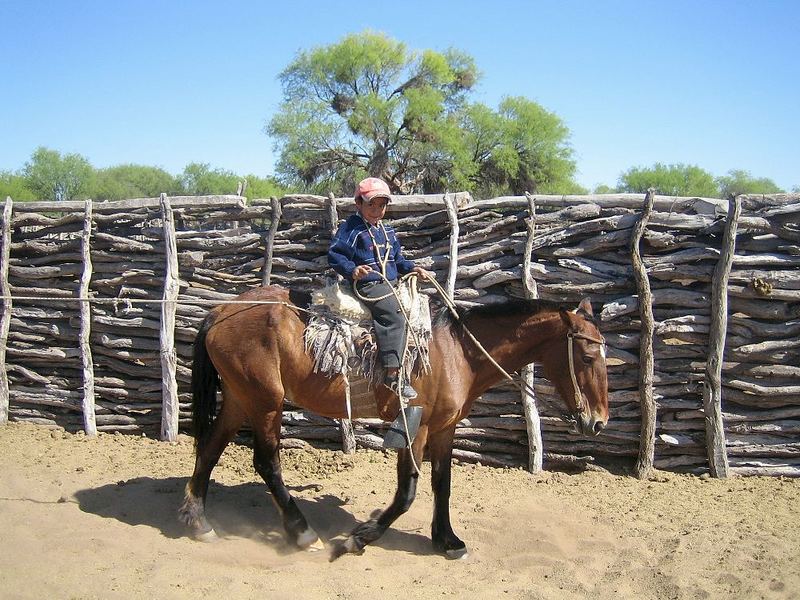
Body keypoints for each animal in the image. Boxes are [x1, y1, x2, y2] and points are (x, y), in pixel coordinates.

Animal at [180, 284, 608, 556]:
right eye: (588, 357)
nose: (600, 422)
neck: (456, 351)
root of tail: (221, 311)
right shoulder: (415, 429)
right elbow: (407, 492)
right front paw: (357, 539)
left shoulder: (444, 428)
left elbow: (442, 484)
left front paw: (447, 540)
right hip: (264, 401)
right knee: (266, 463)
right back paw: (302, 533)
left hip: (240, 398)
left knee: (210, 450)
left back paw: (200, 524)